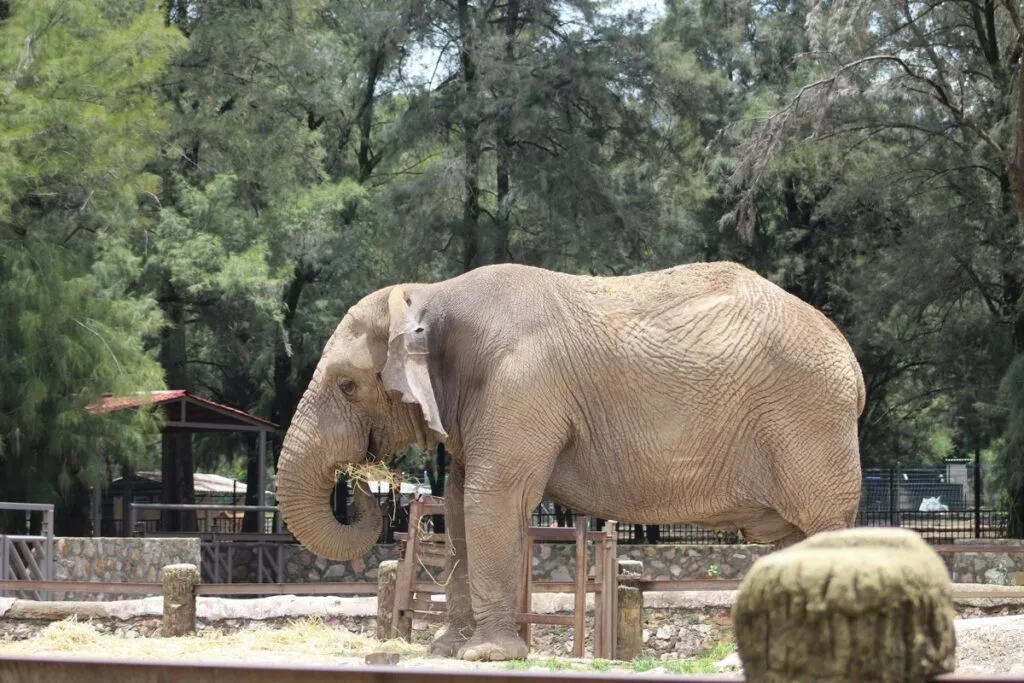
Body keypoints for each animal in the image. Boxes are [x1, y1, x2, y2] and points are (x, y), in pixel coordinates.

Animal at [275, 261, 865, 661]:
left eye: (347, 385)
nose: (365, 480)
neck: (431, 292)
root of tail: (850, 360)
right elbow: (463, 505)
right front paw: (447, 649)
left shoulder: (521, 386)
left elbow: (492, 500)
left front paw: (487, 655)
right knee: (796, 539)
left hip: (808, 419)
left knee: (823, 527)